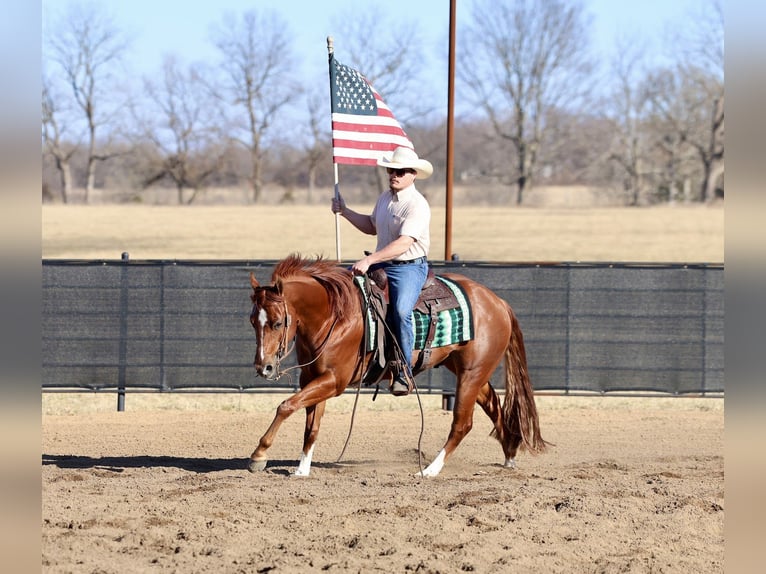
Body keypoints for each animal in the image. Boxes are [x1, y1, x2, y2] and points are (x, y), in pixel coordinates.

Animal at [247, 254, 548, 477]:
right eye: (252, 321)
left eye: (277, 323)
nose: (264, 368)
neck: (335, 314)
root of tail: (498, 302)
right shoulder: (313, 377)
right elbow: (311, 424)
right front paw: (302, 469)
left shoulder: (334, 381)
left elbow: (286, 406)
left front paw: (259, 454)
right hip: (469, 370)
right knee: (493, 405)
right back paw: (509, 453)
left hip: (471, 374)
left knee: (462, 423)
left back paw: (429, 470)